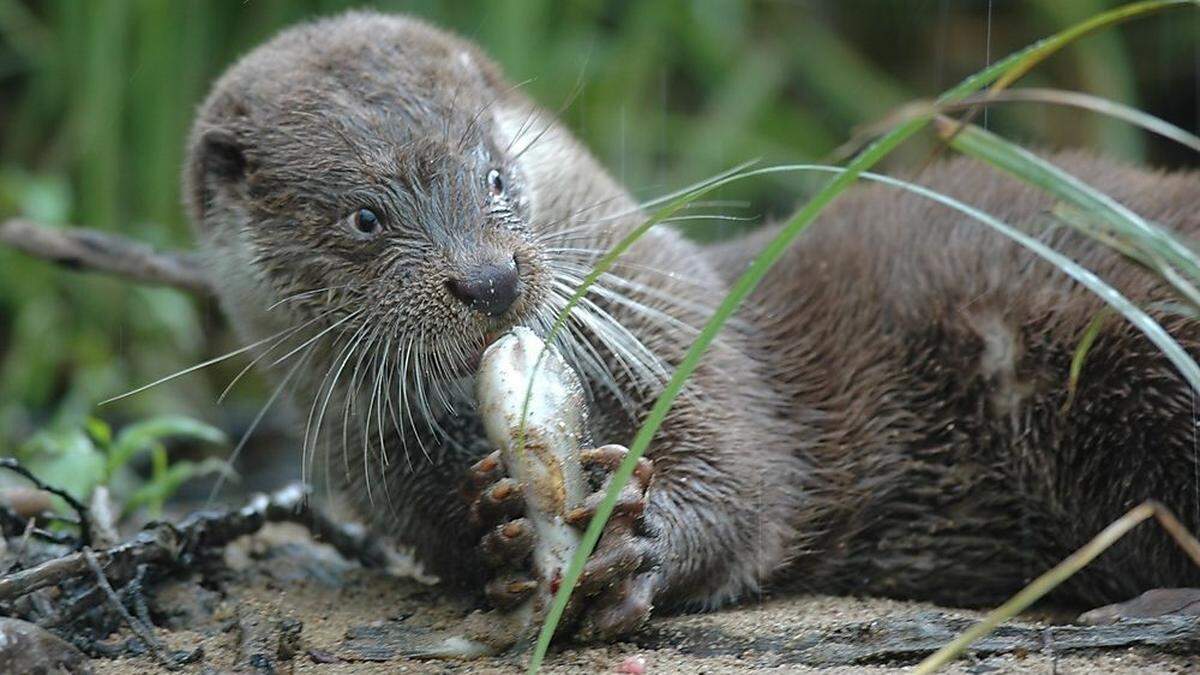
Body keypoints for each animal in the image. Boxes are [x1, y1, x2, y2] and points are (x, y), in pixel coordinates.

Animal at [182, 11, 1200, 638]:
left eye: (496, 174)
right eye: (364, 218)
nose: (489, 278)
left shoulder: (688, 332)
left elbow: (746, 481)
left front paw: (633, 537)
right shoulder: (376, 462)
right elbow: (450, 542)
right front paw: (500, 529)